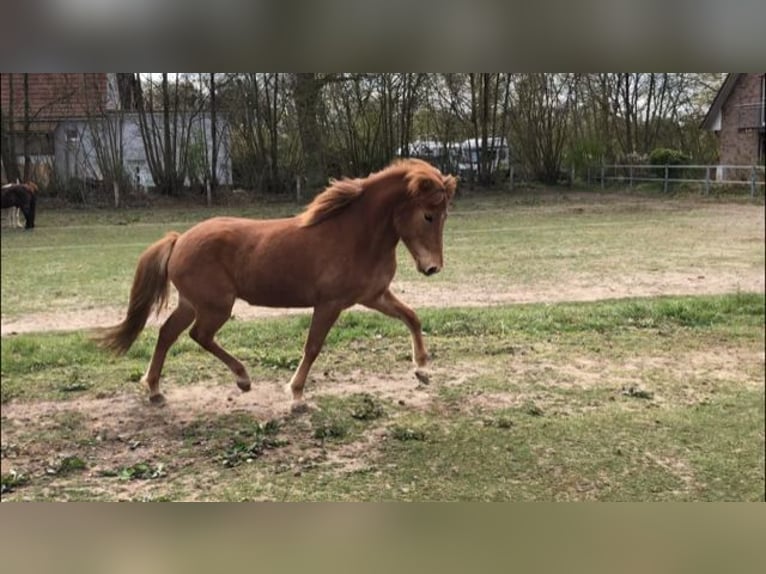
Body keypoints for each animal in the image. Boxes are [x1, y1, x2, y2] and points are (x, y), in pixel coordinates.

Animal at [95, 161, 456, 414]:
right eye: (428, 215)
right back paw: (242, 379)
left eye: (444, 215)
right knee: (199, 335)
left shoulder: (374, 296)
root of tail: (179, 239)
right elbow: (313, 347)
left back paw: (156, 390)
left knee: (167, 333)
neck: (355, 236)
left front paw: (422, 369)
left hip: (191, 303)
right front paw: (296, 396)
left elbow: (412, 317)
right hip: (216, 306)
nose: (432, 267)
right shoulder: (329, 303)